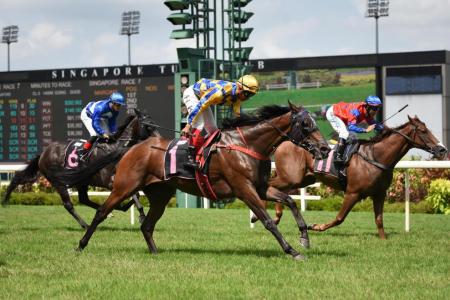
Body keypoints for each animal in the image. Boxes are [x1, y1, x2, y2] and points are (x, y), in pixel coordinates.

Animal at [74, 103, 330, 260]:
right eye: (306, 124)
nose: (325, 148)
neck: (247, 145)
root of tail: (134, 147)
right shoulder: (244, 189)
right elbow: (268, 221)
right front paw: (291, 250)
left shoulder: (261, 187)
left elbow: (290, 200)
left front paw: (305, 236)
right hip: (124, 186)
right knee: (102, 213)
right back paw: (80, 245)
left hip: (160, 195)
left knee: (146, 225)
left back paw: (155, 253)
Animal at [264, 115, 446, 239]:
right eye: (423, 131)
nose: (442, 149)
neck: (376, 157)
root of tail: (285, 142)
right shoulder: (353, 192)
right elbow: (339, 218)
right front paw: (315, 226)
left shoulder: (379, 194)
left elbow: (379, 220)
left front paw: (384, 239)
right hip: (291, 177)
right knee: (270, 185)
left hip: (303, 178)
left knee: (280, 190)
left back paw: (276, 214)